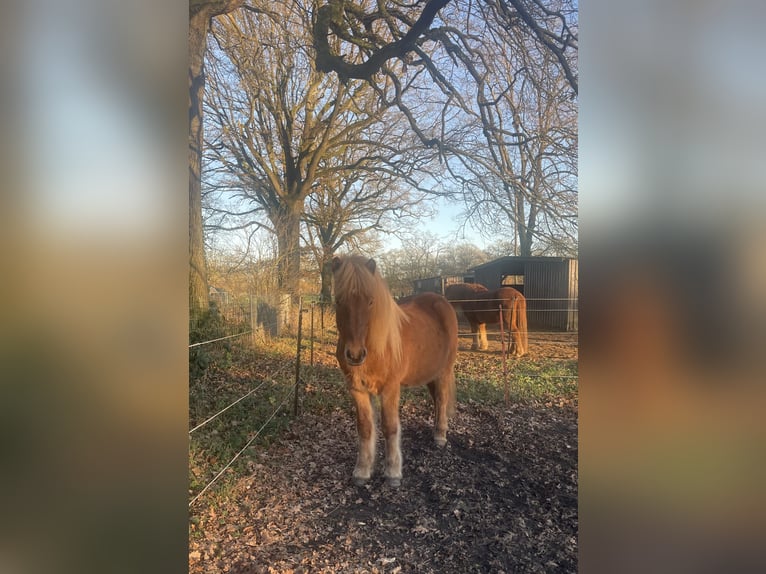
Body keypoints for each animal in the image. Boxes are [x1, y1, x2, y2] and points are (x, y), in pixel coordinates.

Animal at [332, 255, 458, 487]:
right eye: (338, 300)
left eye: (370, 301)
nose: (355, 355)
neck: (376, 348)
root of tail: (441, 301)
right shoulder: (357, 390)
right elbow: (364, 427)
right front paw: (362, 471)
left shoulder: (390, 388)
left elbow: (390, 427)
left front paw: (393, 472)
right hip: (430, 373)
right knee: (437, 400)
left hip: (444, 371)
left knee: (442, 398)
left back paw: (440, 436)